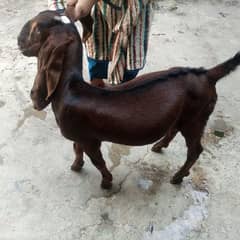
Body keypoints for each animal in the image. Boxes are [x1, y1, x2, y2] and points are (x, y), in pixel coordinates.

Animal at [18, 10, 240, 189]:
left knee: (195, 150)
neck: (69, 87)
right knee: (174, 129)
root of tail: (207, 74)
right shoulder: (81, 136)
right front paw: (76, 166)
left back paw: (177, 177)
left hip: (197, 116)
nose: (18, 40)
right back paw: (159, 146)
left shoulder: (91, 140)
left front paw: (106, 182)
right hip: (185, 114)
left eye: (36, 28)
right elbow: (76, 149)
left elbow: (97, 161)